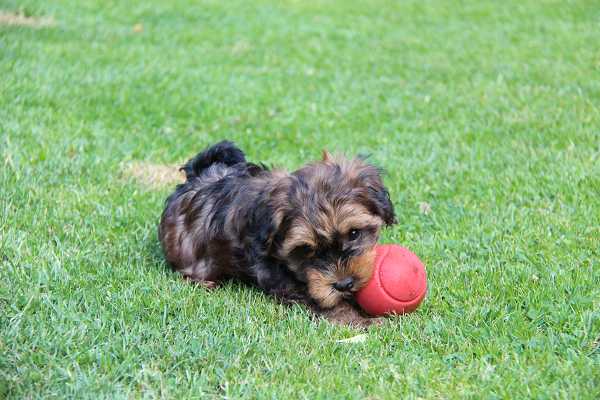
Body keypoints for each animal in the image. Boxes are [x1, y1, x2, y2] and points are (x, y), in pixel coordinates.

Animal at [158, 141, 395, 326]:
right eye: (305, 249)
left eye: (354, 233)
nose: (343, 284)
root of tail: (197, 177)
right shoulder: (276, 273)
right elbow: (317, 299)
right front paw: (361, 320)